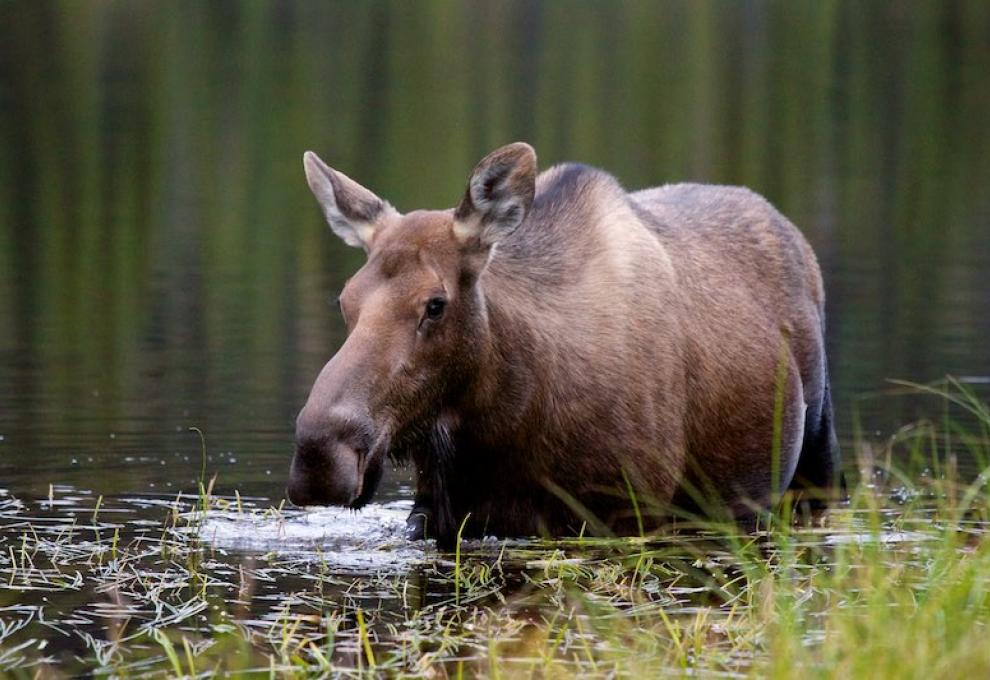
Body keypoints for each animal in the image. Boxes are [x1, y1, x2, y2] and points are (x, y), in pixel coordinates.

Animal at [288, 143, 844, 548]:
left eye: (435, 304)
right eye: (344, 300)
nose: (321, 457)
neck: (507, 419)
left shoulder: (630, 512)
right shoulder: (435, 514)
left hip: (816, 459)